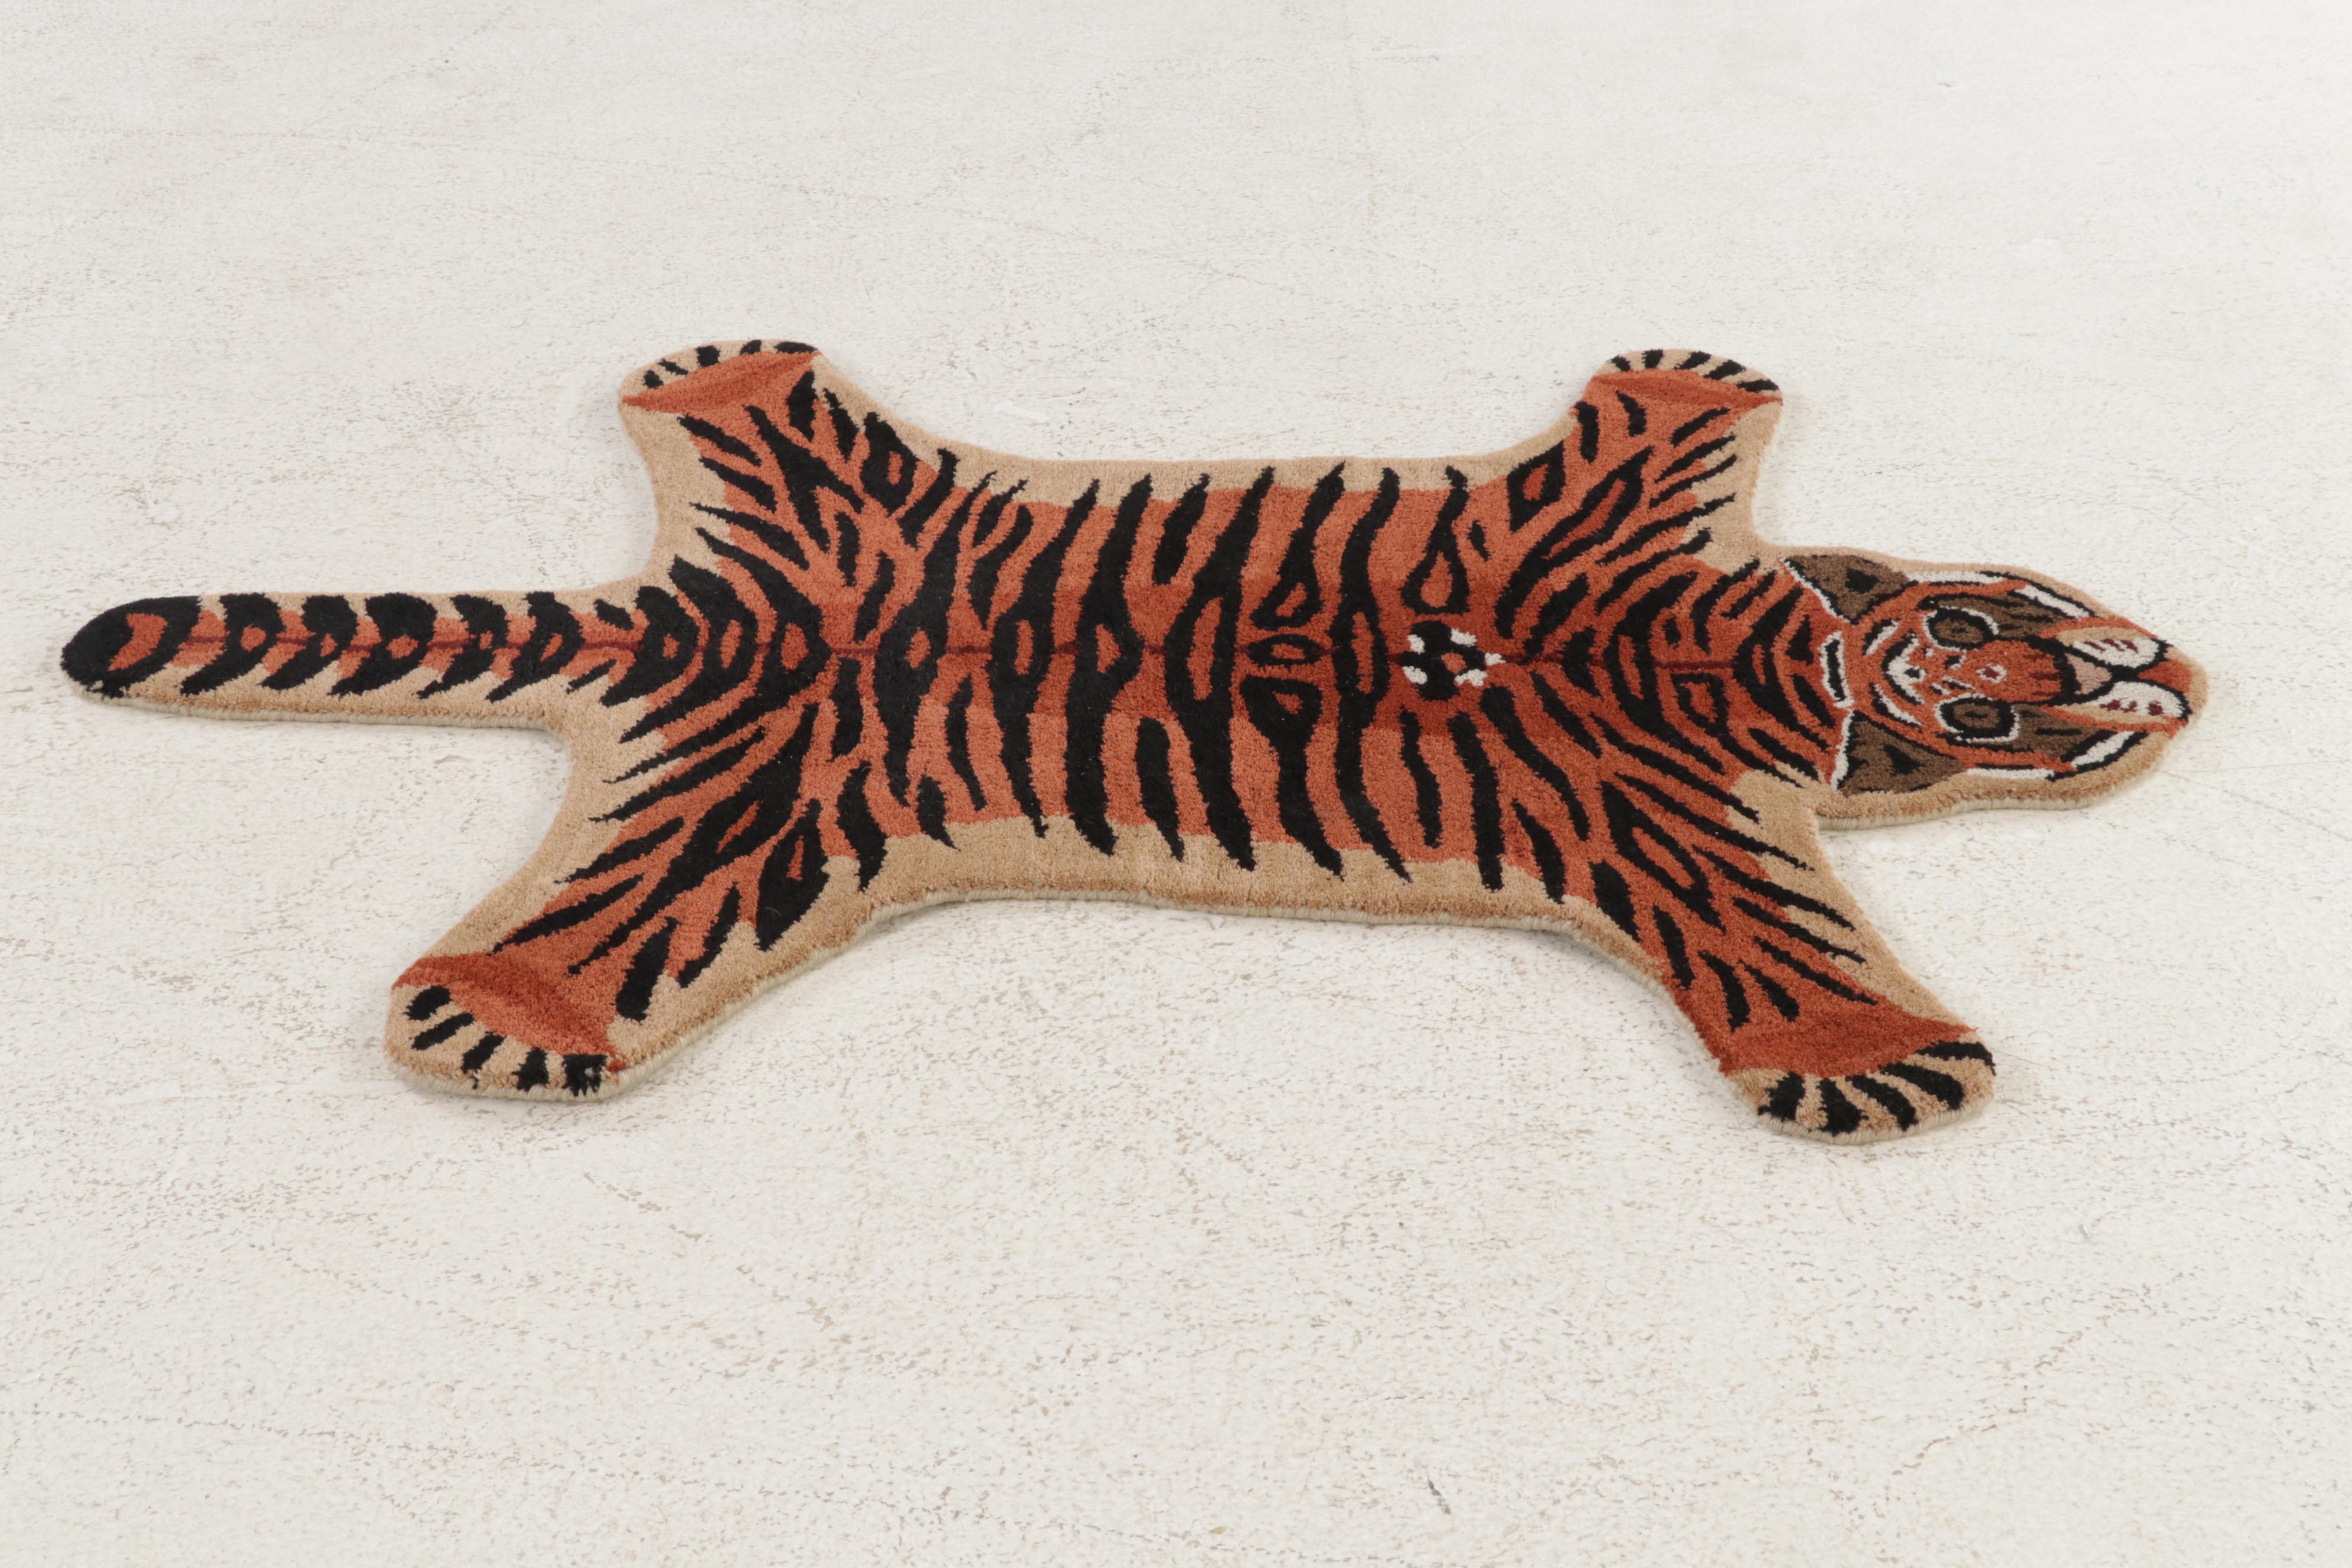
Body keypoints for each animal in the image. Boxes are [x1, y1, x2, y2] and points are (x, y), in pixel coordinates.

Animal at [61, 342, 2202, 1141]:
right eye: (1986, 685)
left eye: (2009, 627)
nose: (2173, 685)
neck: (1761, 646)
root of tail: (699, 609)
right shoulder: (1687, 820)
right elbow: (1796, 953)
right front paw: (1879, 1060)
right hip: (758, 815)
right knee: (599, 933)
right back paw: (509, 1008)